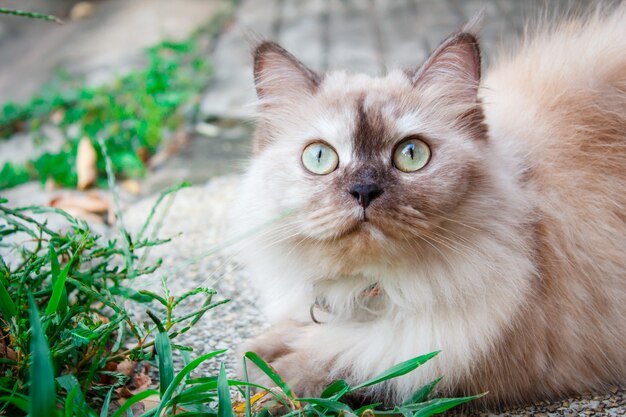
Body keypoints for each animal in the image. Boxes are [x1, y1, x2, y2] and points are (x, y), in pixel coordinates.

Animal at [229, 3, 624, 410]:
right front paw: (260, 353)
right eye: (320, 157)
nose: (364, 190)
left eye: (411, 155)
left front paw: (268, 383)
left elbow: (346, 357)